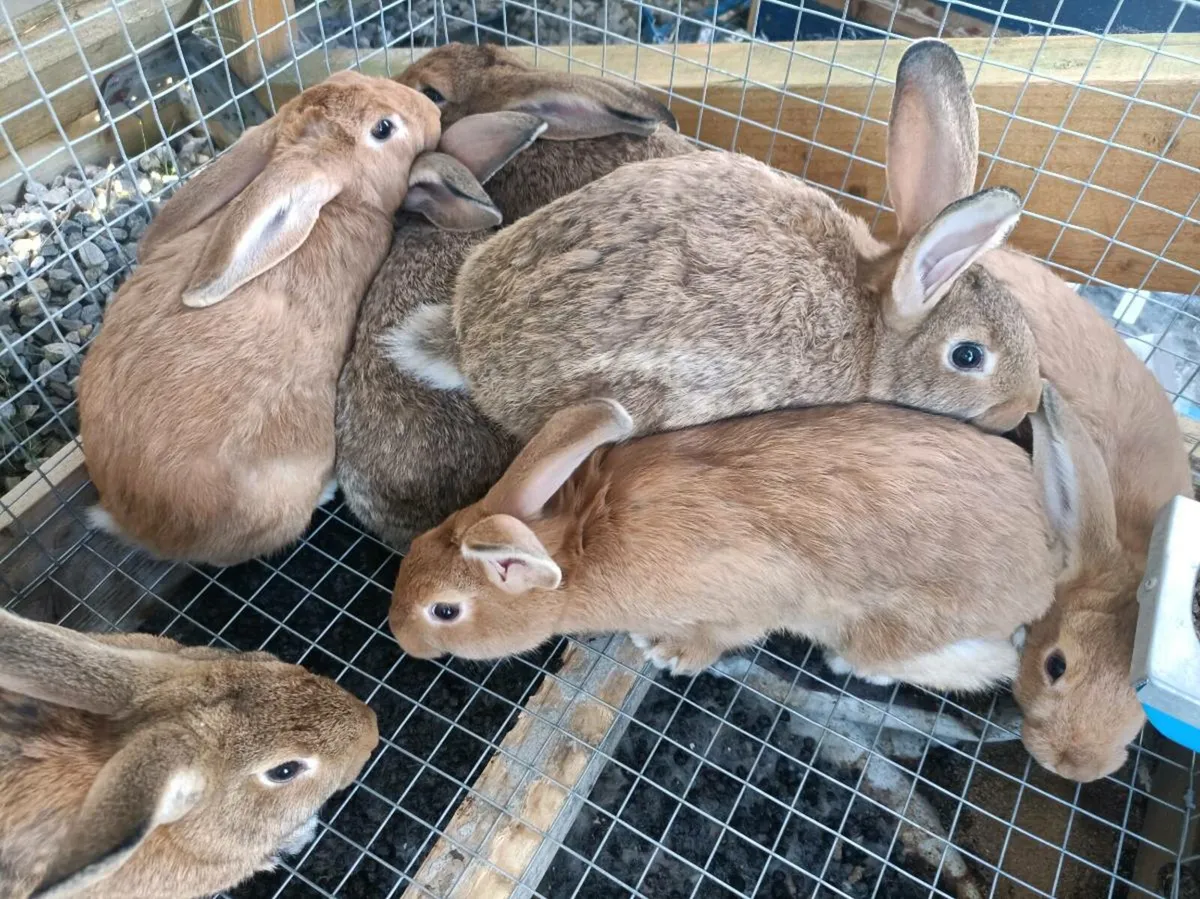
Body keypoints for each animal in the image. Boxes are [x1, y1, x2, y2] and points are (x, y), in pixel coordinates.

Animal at [388, 383, 1095, 694]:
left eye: (445, 611)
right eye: (416, 546)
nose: (401, 638)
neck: (576, 542)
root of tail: (1047, 552)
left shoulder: (746, 594)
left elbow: (725, 635)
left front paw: (668, 654)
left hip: (894, 629)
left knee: (986, 658)